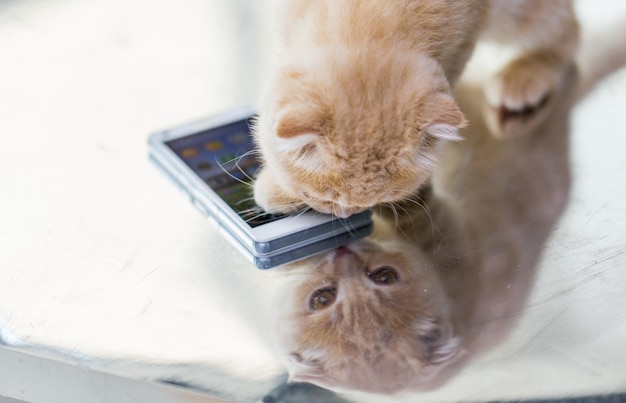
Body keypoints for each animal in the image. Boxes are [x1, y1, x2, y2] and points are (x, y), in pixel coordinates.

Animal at [252, 0, 576, 218]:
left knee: (567, 32)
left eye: (380, 200)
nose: (346, 215)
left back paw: (527, 73)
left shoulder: (465, 36)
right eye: (322, 197)